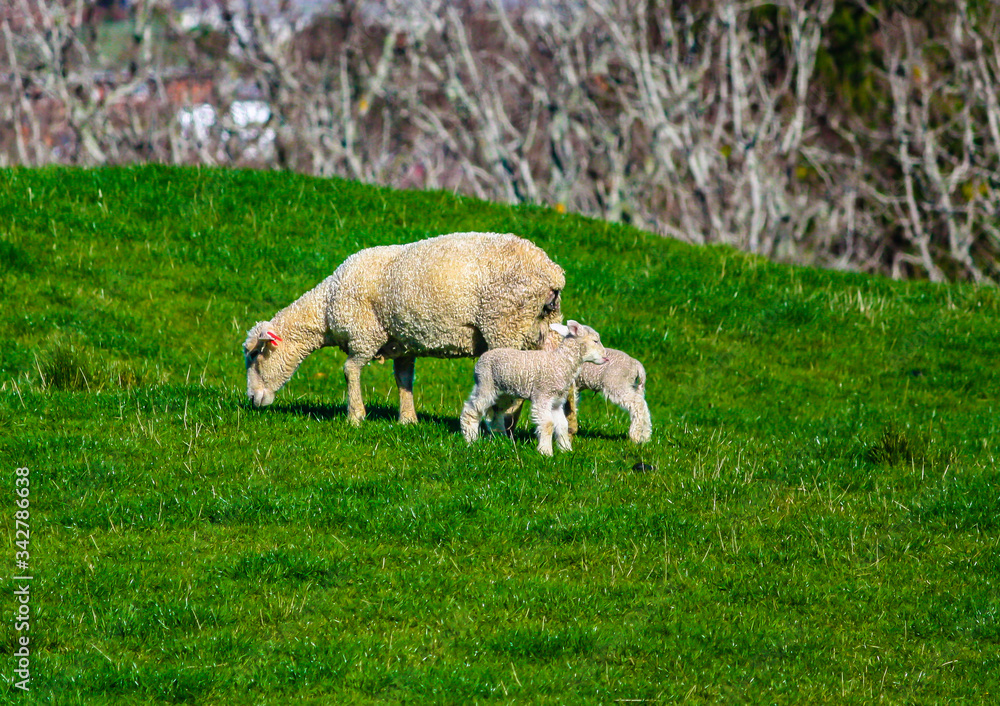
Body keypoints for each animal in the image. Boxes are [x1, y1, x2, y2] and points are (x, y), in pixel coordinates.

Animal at [243, 232, 565, 425]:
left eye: (255, 356)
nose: (252, 399)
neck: (326, 305)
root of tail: (552, 273)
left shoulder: (364, 335)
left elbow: (350, 370)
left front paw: (355, 417)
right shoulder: (403, 343)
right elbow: (404, 379)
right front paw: (408, 420)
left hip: (504, 324)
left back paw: (501, 424)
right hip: (538, 328)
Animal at [460, 321, 608, 456]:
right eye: (595, 341)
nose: (606, 357)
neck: (561, 362)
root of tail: (482, 358)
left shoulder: (556, 401)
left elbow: (562, 425)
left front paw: (566, 449)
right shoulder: (543, 395)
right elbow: (547, 424)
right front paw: (545, 451)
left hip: (503, 392)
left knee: (497, 411)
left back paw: (501, 437)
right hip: (485, 383)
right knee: (472, 410)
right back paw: (471, 439)